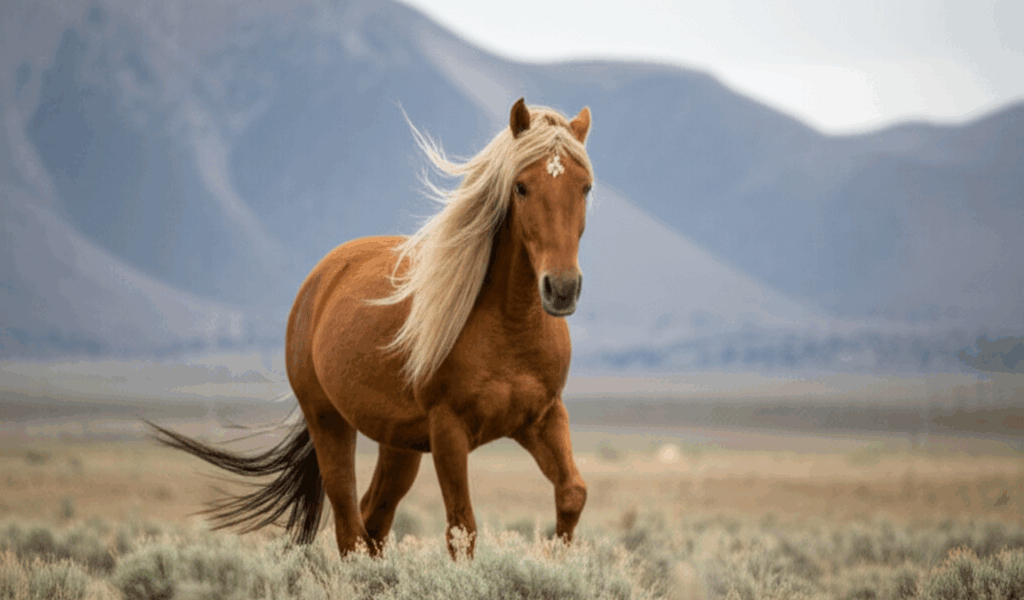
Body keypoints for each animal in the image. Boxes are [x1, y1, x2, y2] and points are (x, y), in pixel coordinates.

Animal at [148, 98, 594, 559]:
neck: (509, 327)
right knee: (349, 524)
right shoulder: (448, 431)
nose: (562, 288)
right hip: (329, 421)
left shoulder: (543, 417)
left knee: (372, 521)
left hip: (399, 445)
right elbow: (462, 528)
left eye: (585, 188)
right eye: (521, 187)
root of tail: (321, 278)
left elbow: (572, 494)